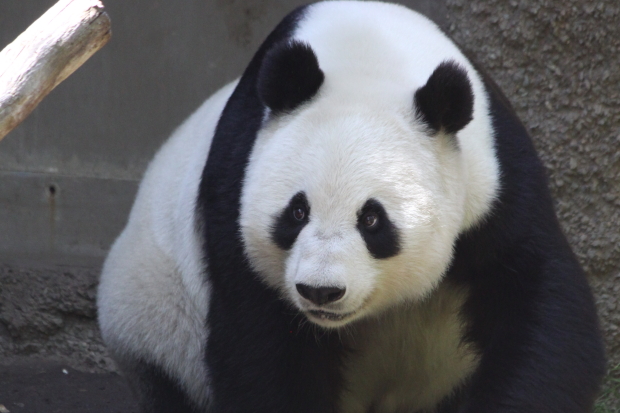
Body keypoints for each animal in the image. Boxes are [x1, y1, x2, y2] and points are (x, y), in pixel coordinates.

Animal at [97, 1, 604, 410]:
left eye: (372, 219)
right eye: (297, 212)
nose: (320, 291)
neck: (368, 56)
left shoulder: (496, 184)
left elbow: (541, 301)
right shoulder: (234, 184)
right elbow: (262, 349)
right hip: (151, 316)